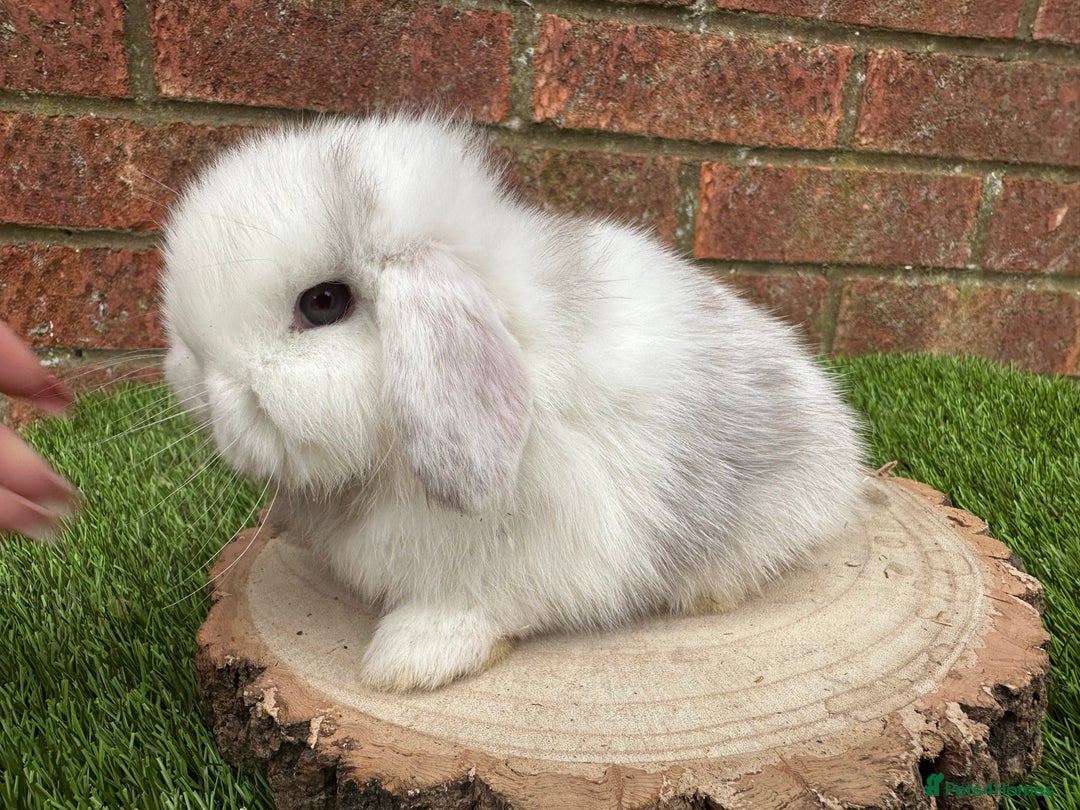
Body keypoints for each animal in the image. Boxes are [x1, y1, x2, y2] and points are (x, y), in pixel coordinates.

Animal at [161, 114, 866, 691]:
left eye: (323, 303)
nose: (198, 377)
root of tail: (844, 445)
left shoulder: (537, 546)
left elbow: (475, 605)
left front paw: (406, 660)